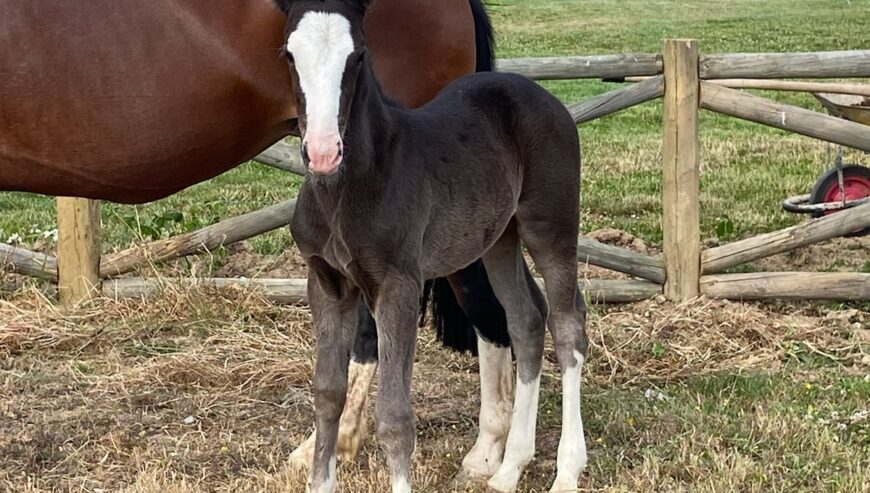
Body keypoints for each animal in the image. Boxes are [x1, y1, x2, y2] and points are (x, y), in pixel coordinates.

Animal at [282, 0, 588, 492]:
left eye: (359, 56)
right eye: (289, 55)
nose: (324, 151)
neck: (346, 191)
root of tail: (539, 94)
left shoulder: (399, 286)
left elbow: (394, 417)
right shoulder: (325, 282)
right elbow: (327, 393)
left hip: (550, 224)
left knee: (567, 326)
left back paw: (566, 472)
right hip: (498, 239)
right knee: (525, 319)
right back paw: (508, 469)